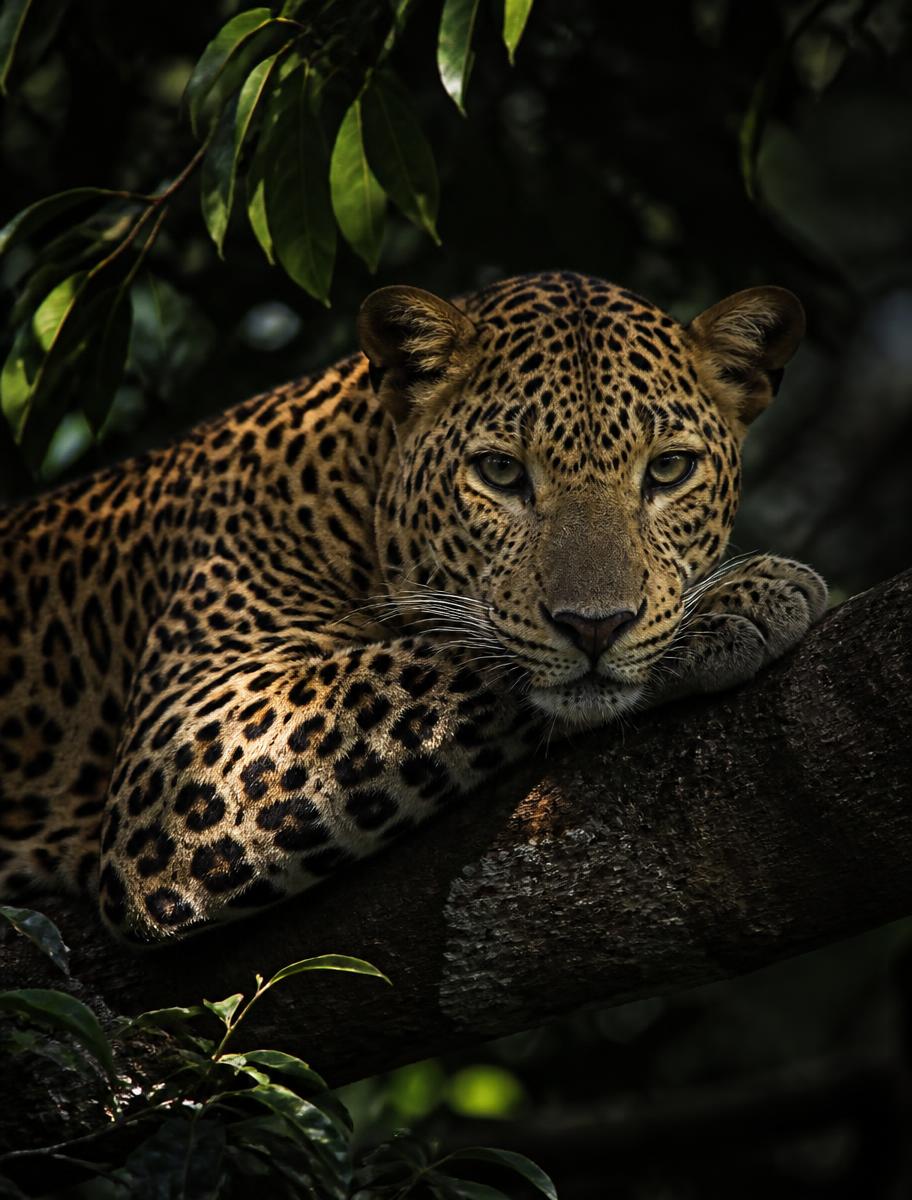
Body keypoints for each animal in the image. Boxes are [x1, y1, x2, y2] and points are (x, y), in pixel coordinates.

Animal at [0, 270, 827, 943]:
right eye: (500, 473)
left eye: (670, 469)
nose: (595, 626)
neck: (350, 487)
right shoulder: (183, 748)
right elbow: (435, 656)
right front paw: (739, 604)